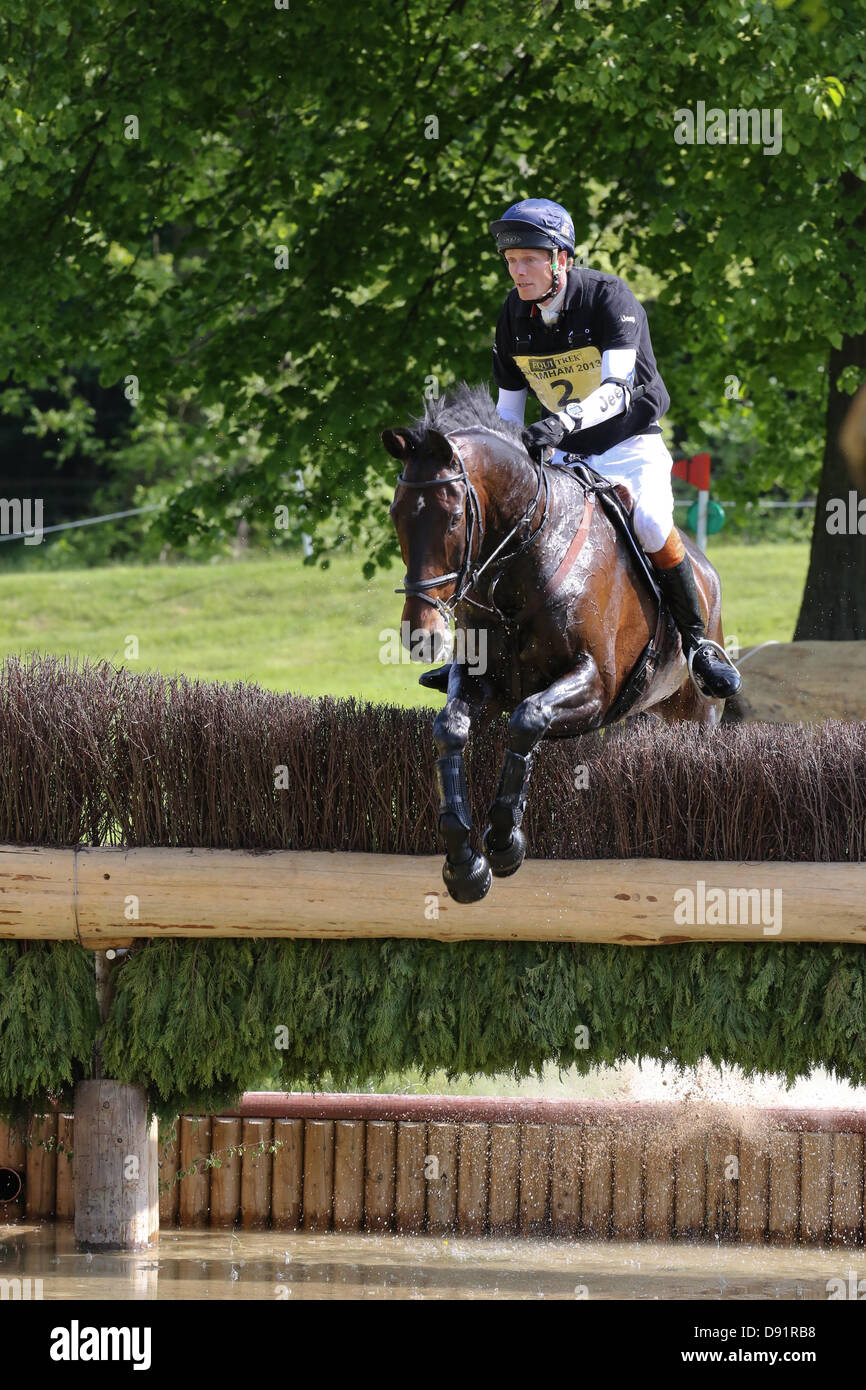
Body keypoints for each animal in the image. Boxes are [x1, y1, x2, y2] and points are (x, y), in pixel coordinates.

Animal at [383, 383, 728, 900]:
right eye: (395, 514)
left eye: (454, 517)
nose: (420, 634)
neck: (524, 555)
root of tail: (707, 569)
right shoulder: (480, 677)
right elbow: (450, 729)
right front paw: (464, 862)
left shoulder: (596, 686)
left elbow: (528, 719)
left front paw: (503, 841)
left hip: (697, 711)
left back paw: (711, 661)